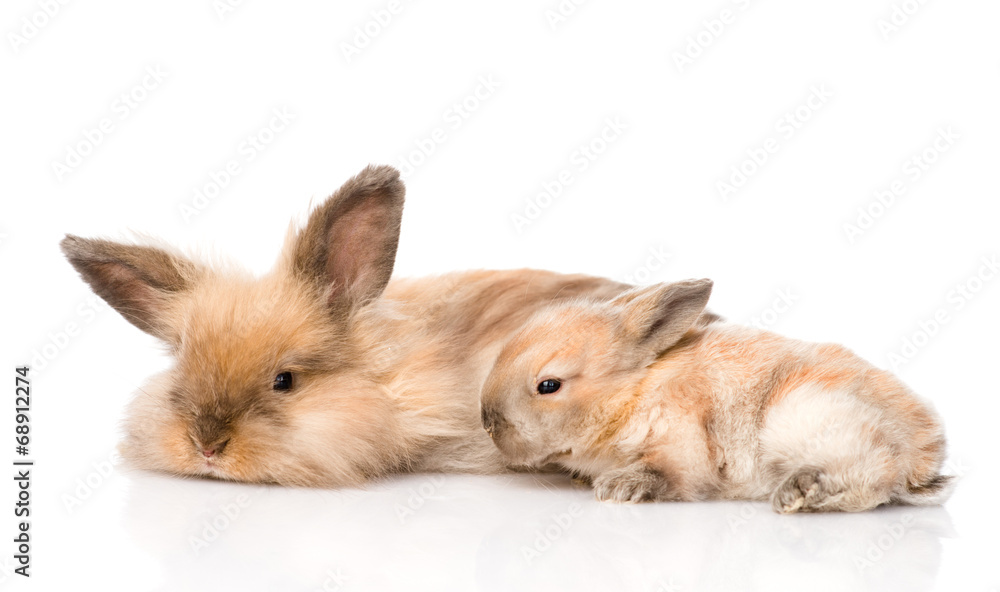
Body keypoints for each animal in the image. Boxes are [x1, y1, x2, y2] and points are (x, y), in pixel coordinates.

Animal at [480, 278, 954, 512]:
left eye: (549, 385)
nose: (486, 420)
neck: (633, 394)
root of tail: (921, 457)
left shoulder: (681, 440)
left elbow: (670, 472)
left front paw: (619, 489)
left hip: (802, 419)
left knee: (871, 479)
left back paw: (795, 495)